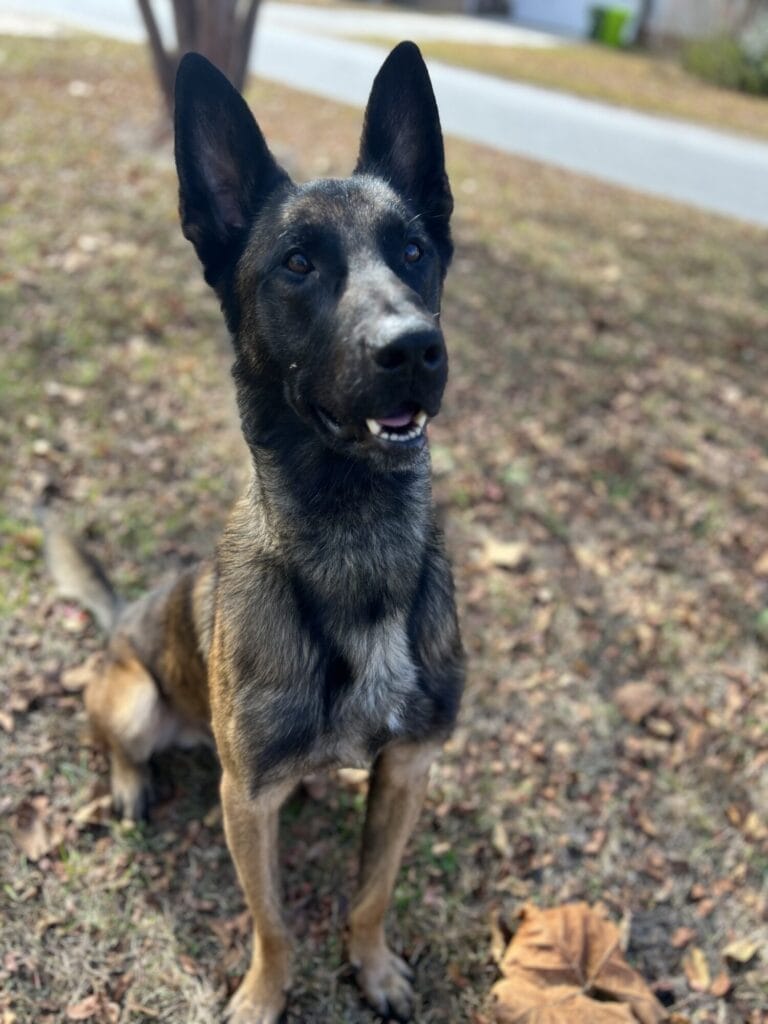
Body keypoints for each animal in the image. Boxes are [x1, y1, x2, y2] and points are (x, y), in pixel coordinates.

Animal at [45, 42, 464, 1023]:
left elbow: (372, 892)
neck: (356, 547)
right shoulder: (249, 800)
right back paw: (132, 783)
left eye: (415, 252)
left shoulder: (408, 768)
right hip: (133, 697)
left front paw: (373, 966)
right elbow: (271, 921)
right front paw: (264, 995)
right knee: (118, 740)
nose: (414, 349)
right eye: (298, 262)